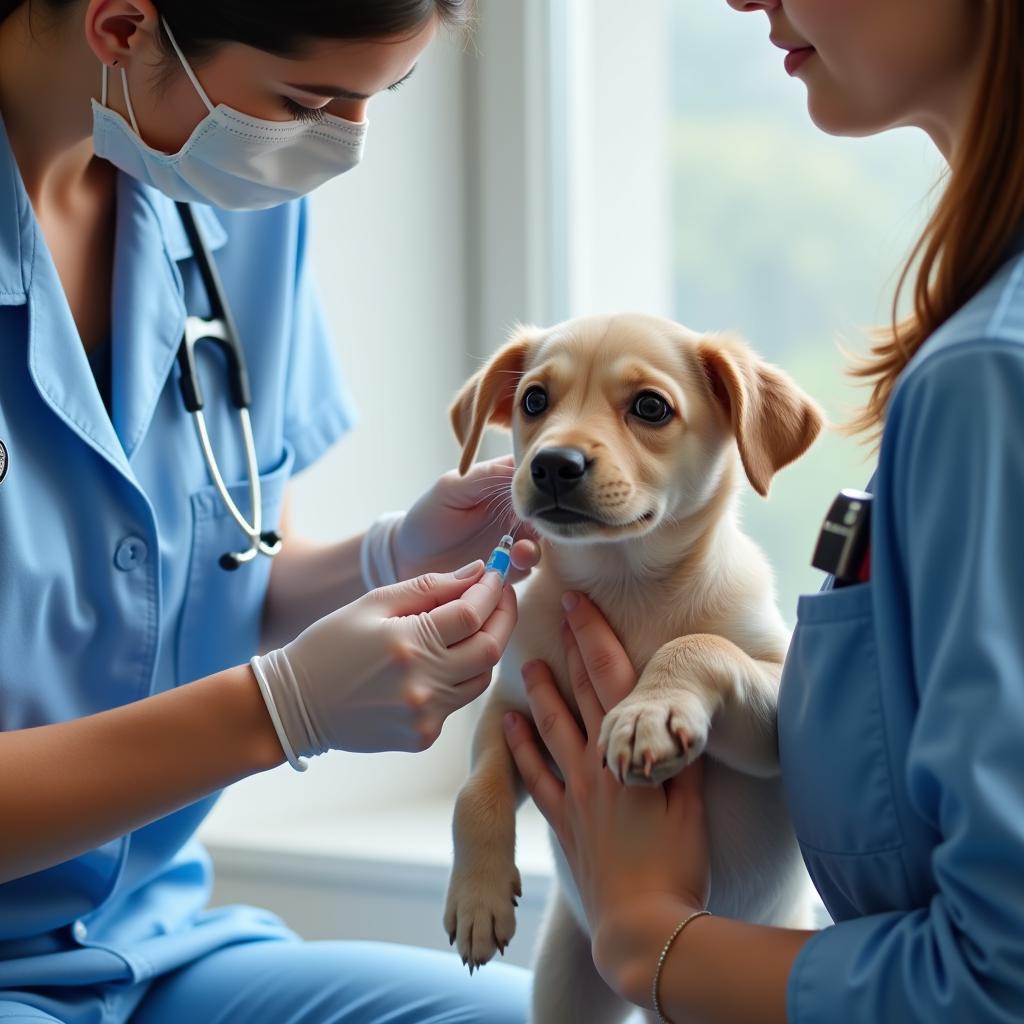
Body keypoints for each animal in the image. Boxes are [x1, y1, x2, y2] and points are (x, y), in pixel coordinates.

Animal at [446, 313, 823, 1024]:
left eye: (651, 408)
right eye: (534, 401)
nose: (553, 464)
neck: (627, 587)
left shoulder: (773, 715)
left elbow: (700, 644)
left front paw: (650, 712)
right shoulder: (512, 709)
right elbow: (474, 793)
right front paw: (477, 899)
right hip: (566, 981)